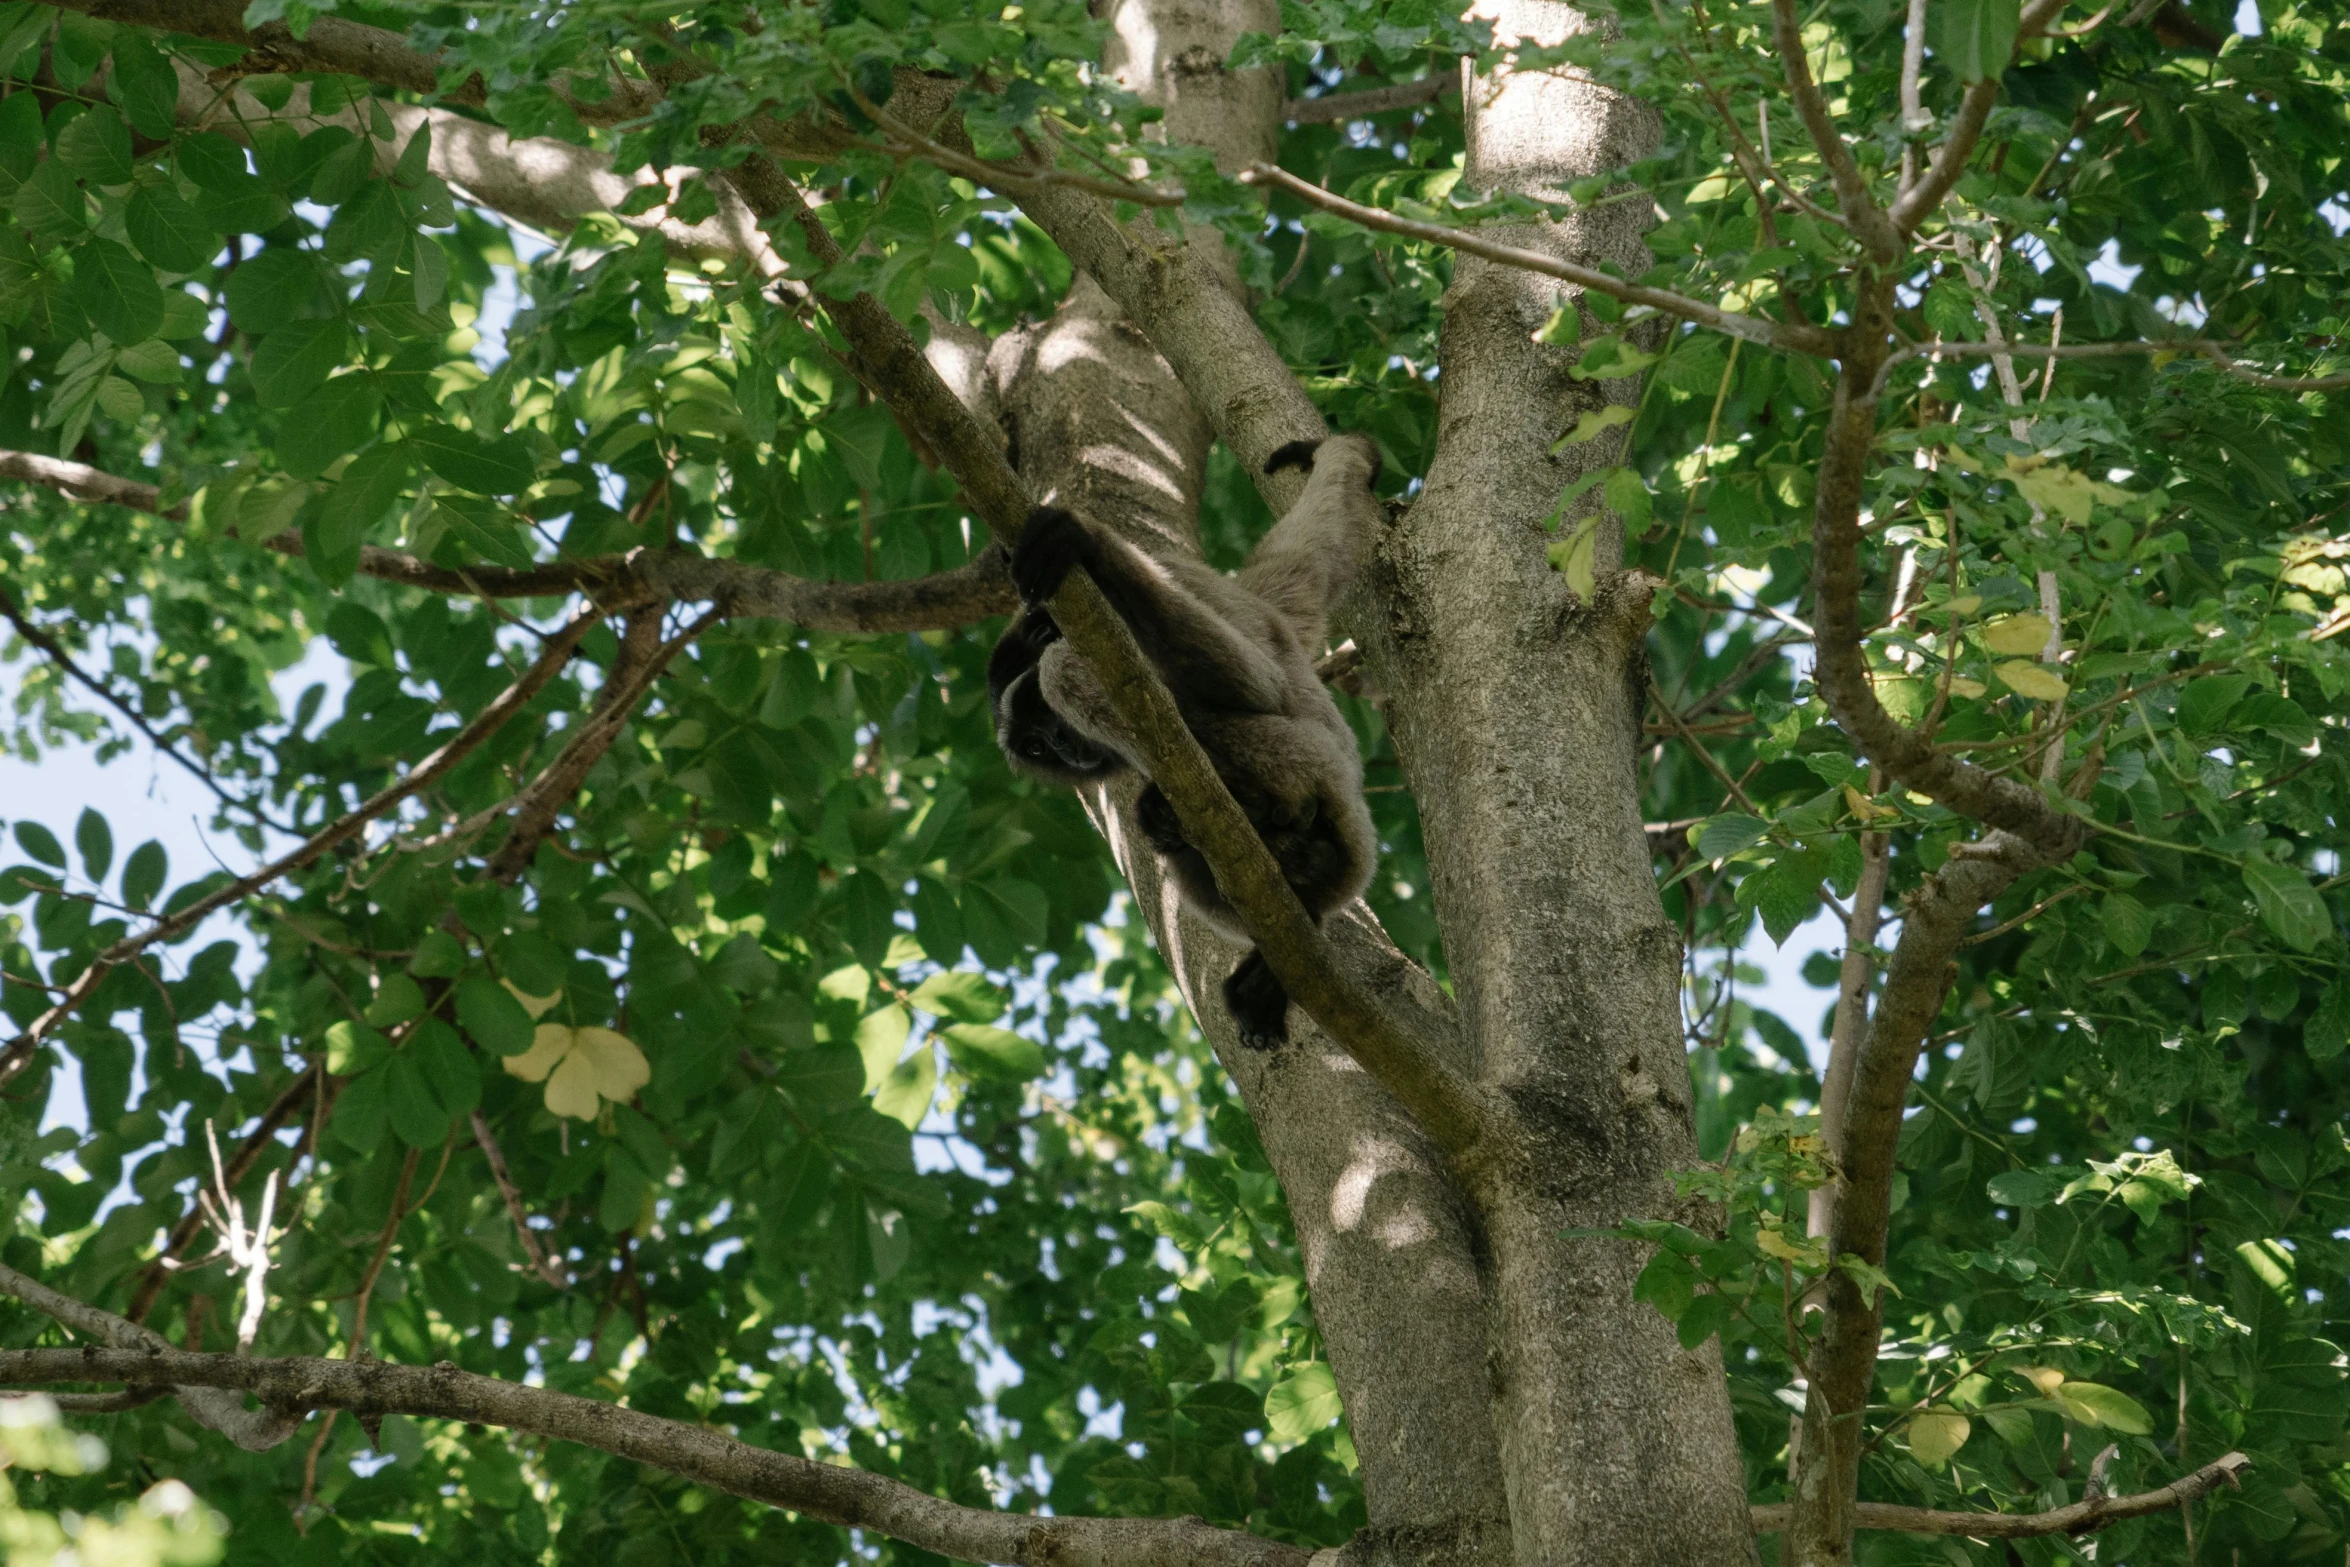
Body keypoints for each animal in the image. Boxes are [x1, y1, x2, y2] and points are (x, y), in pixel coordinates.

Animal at [986, 432, 1381, 1052]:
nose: (1065, 750)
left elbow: (1257, 683)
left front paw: (1086, 545)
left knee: (1066, 667)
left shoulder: (1165, 575)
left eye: (1043, 722)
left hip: (1314, 769)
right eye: (1035, 748)